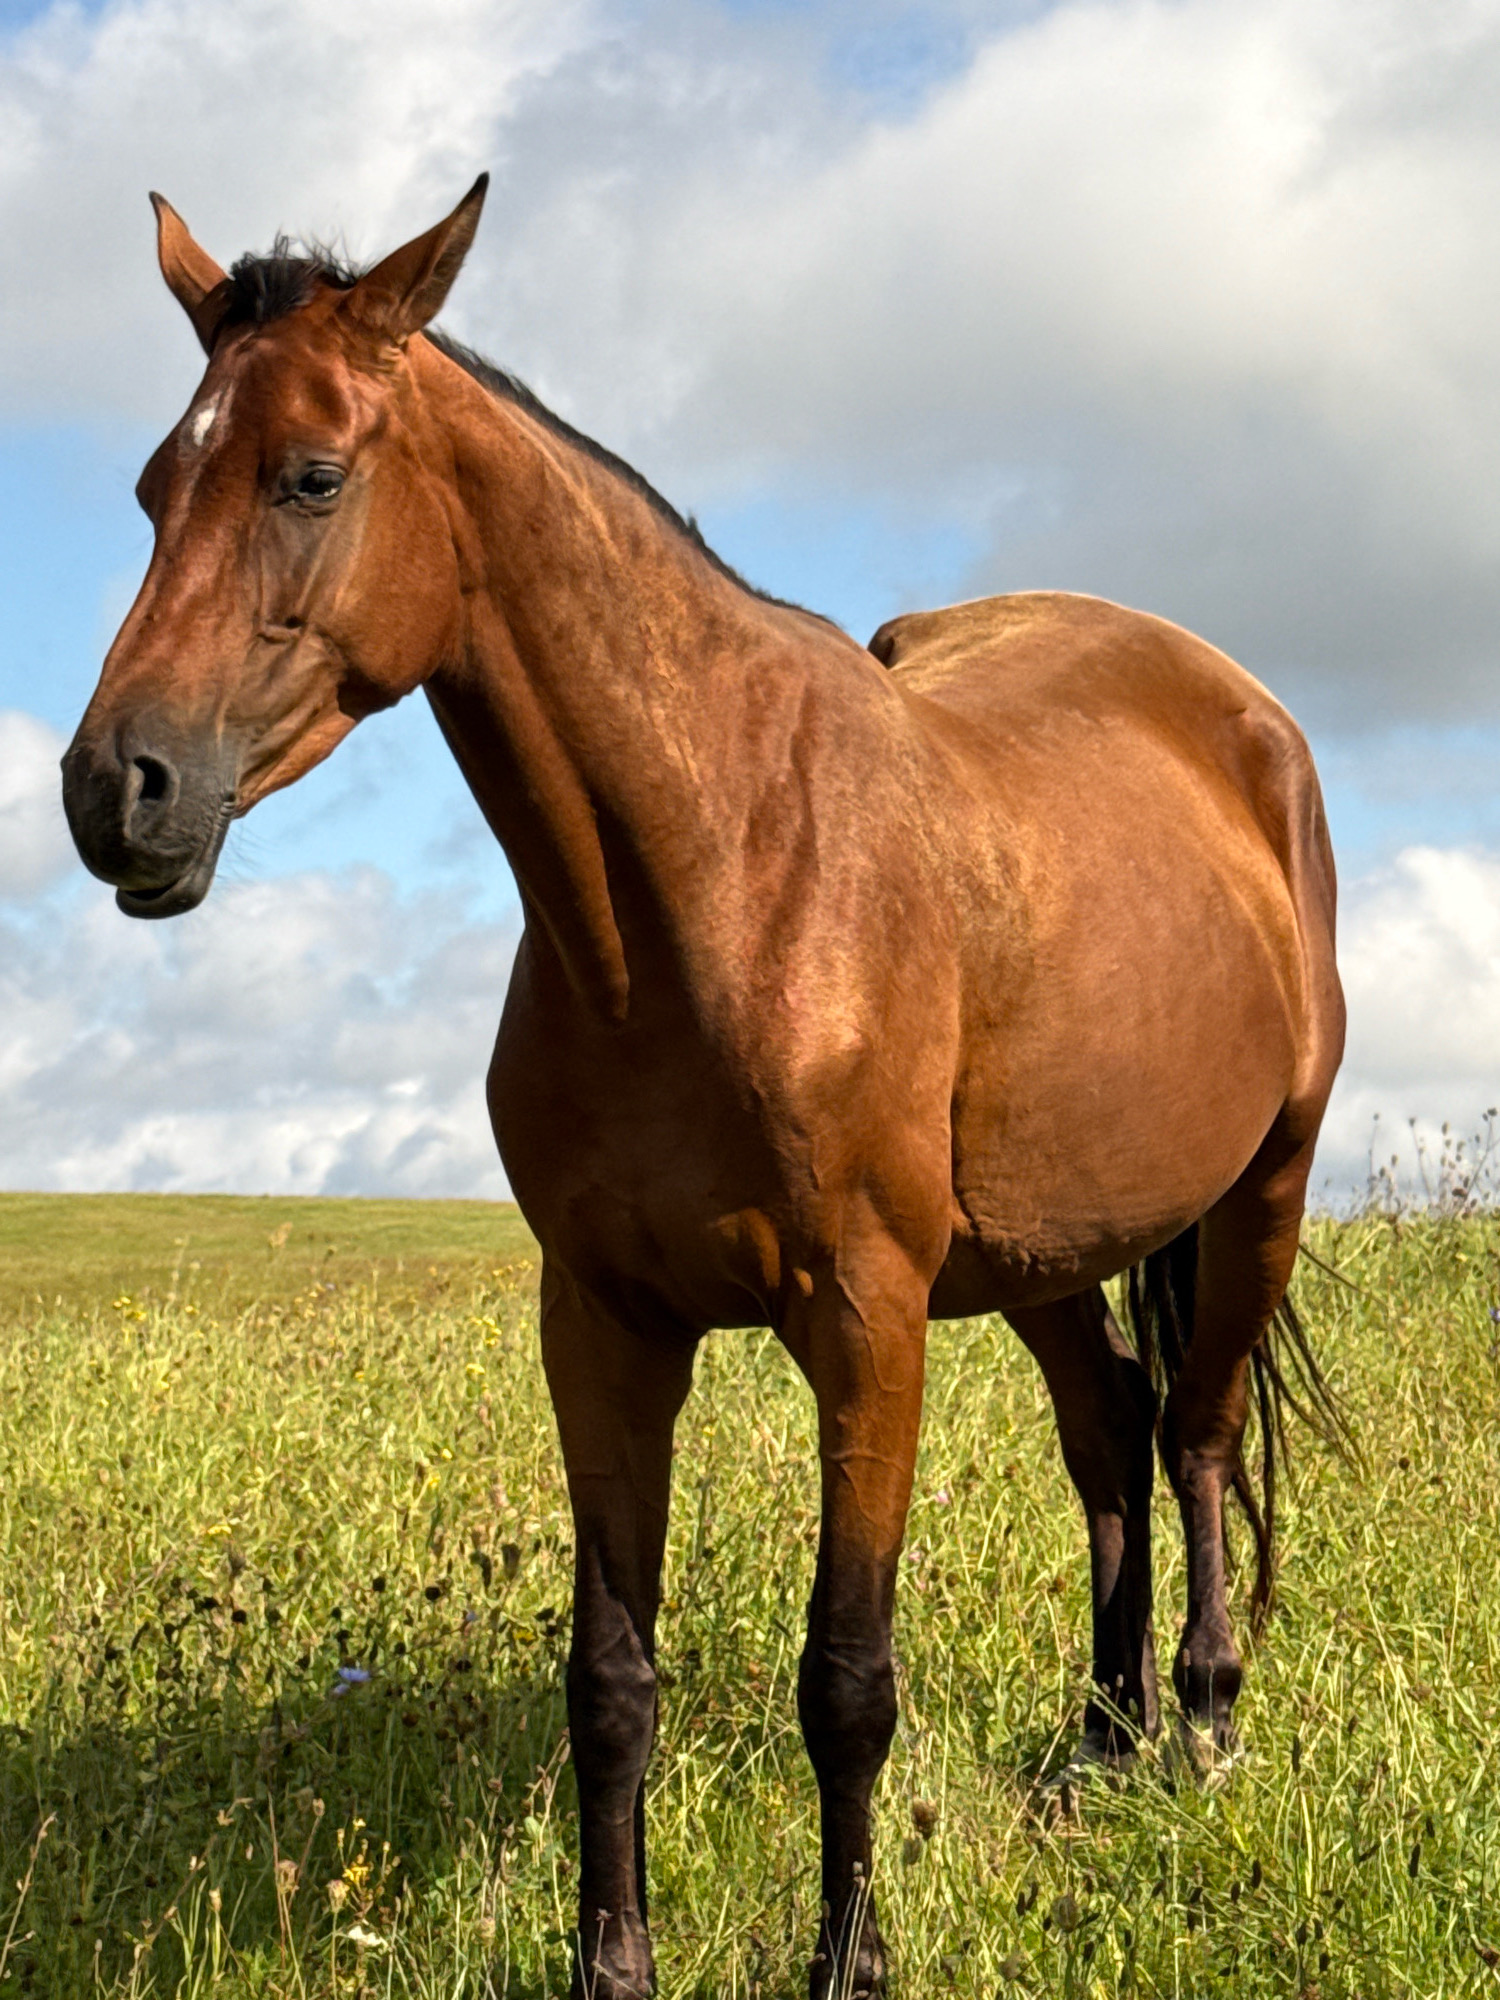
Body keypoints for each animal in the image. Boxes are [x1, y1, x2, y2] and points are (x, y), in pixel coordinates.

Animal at [62, 178, 1346, 2000]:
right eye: (154, 489)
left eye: (310, 475)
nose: (118, 791)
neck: (724, 875)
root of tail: (1242, 715)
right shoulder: (602, 1324)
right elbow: (610, 1681)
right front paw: (612, 1965)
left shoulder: (866, 1323)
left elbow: (849, 1678)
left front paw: (849, 1960)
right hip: (1044, 1248)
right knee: (1108, 1429)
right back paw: (1097, 1743)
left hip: (1260, 1196)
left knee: (1199, 1434)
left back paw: (1205, 1729)